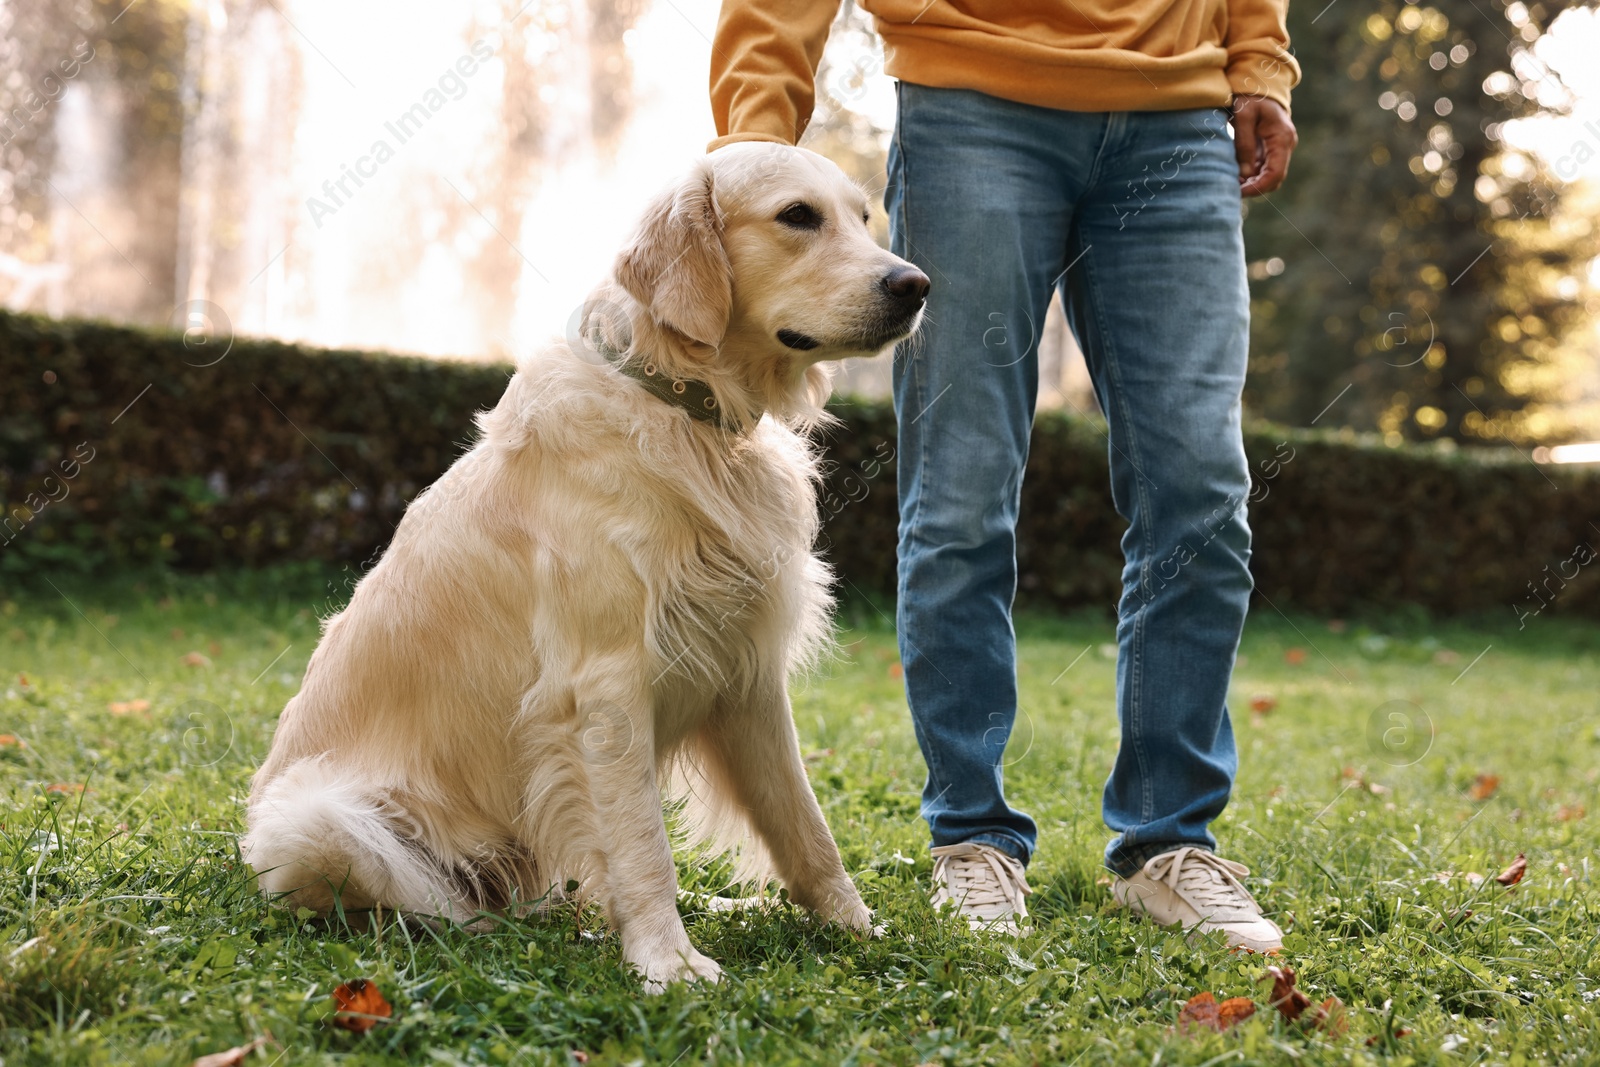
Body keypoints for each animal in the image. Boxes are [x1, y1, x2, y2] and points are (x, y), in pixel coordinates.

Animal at [243, 143, 934, 991]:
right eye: (797, 216)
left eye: (863, 217)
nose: (916, 286)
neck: (685, 406)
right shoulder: (605, 685)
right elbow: (643, 844)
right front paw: (669, 960)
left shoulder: (746, 674)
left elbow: (804, 822)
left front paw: (855, 926)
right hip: (315, 822)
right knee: (454, 904)